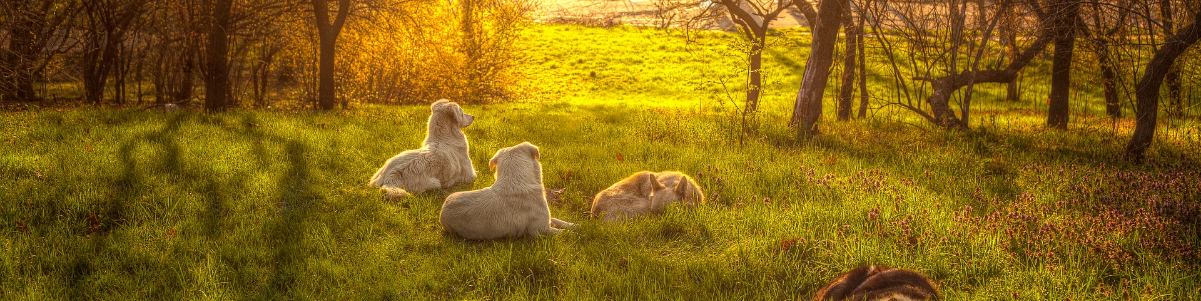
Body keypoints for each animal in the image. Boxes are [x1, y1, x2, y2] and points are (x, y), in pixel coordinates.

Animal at [439, 142, 574, 241]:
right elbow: (563, 233)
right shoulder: (541, 230)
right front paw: (575, 234)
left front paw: (574, 225)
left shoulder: (547, 221)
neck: (516, 181)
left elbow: (558, 221)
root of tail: (442, 210)